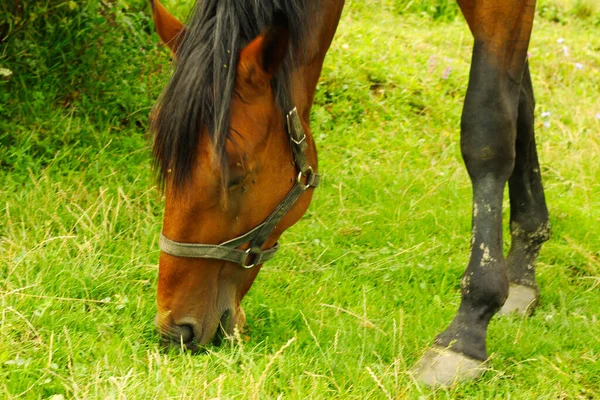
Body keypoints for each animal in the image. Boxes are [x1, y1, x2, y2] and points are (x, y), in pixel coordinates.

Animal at [150, 0, 548, 388]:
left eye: (236, 177)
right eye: (166, 165)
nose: (175, 330)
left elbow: (490, 128)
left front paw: (466, 331)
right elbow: (521, 107)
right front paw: (524, 260)